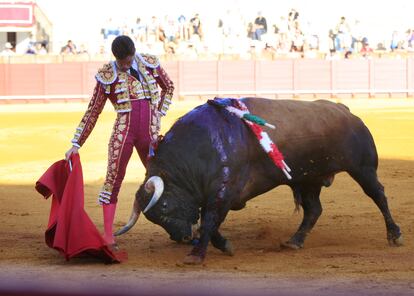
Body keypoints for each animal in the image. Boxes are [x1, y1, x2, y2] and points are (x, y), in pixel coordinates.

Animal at [115, 98, 402, 264]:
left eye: (164, 207)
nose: (182, 237)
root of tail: (346, 110)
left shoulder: (223, 191)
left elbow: (209, 221)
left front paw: (195, 256)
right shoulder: (216, 196)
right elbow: (211, 224)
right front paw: (224, 246)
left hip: (363, 168)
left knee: (379, 195)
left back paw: (394, 234)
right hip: (308, 179)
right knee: (313, 210)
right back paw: (294, 241)